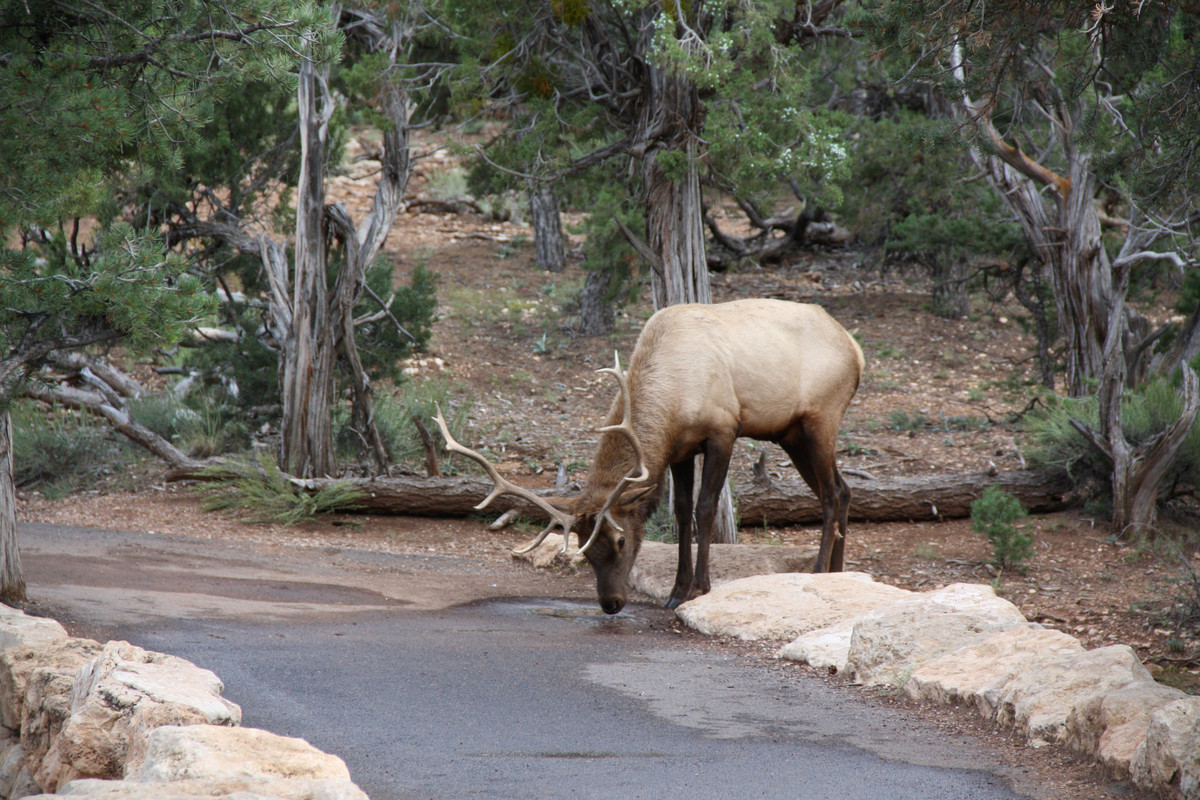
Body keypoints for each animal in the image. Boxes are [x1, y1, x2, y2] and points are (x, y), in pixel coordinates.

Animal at [436, 297, 868, 618]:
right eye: (584, 550)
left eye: (621, 540)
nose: (611, 603)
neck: (672, 400)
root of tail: (857, 350)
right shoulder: (679, 449)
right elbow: (680, 511)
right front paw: (676, 591)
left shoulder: (723, 429)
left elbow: (705, 508)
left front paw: (699, 588)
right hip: (791, 434)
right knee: (843, 490)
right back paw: (837, 573)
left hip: (821, 418)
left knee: (832, 494)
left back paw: (818, 572)